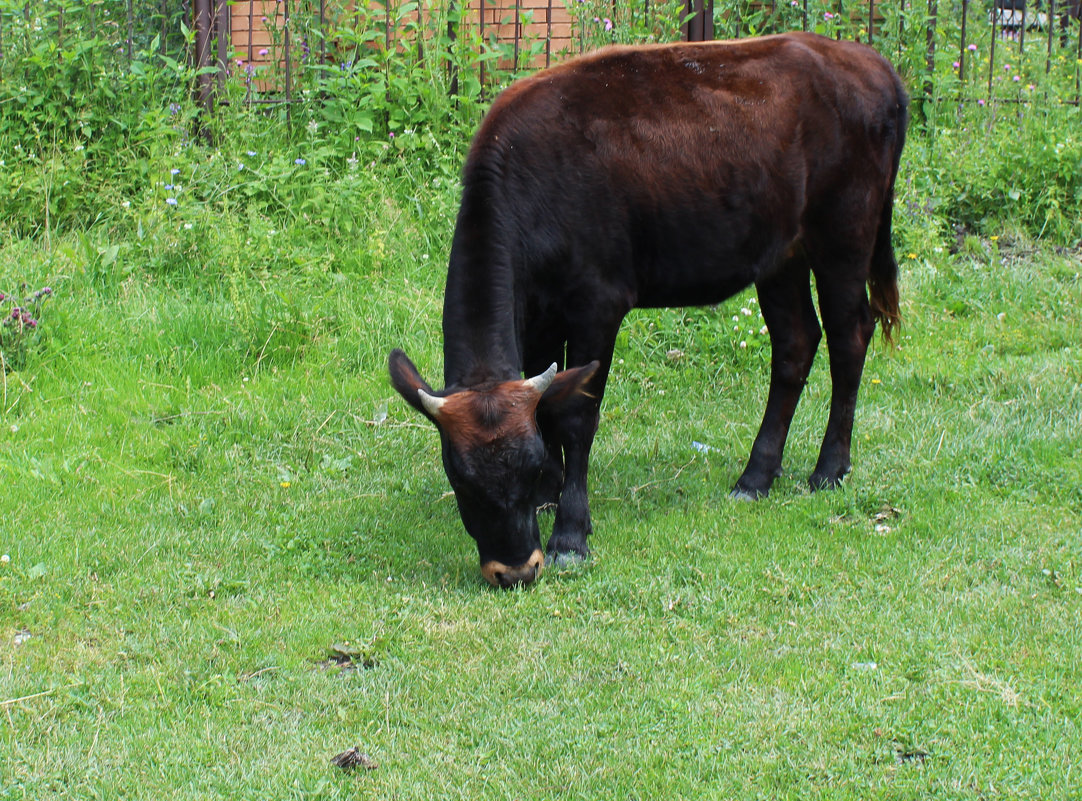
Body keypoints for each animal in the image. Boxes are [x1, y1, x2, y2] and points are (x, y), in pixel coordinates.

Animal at [389, 32, 904, 588]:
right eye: (462, 482)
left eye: (522, 472)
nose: (517, 570)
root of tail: (869, 61)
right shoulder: (540, 313)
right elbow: (546, 402)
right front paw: (552, 493)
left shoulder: (598, 302)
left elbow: (576, 415)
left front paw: (570, 533)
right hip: (781, 254)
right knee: (795, 343)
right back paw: (756, 476)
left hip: (845, 233)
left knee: (849, 337)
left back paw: (829, 469)